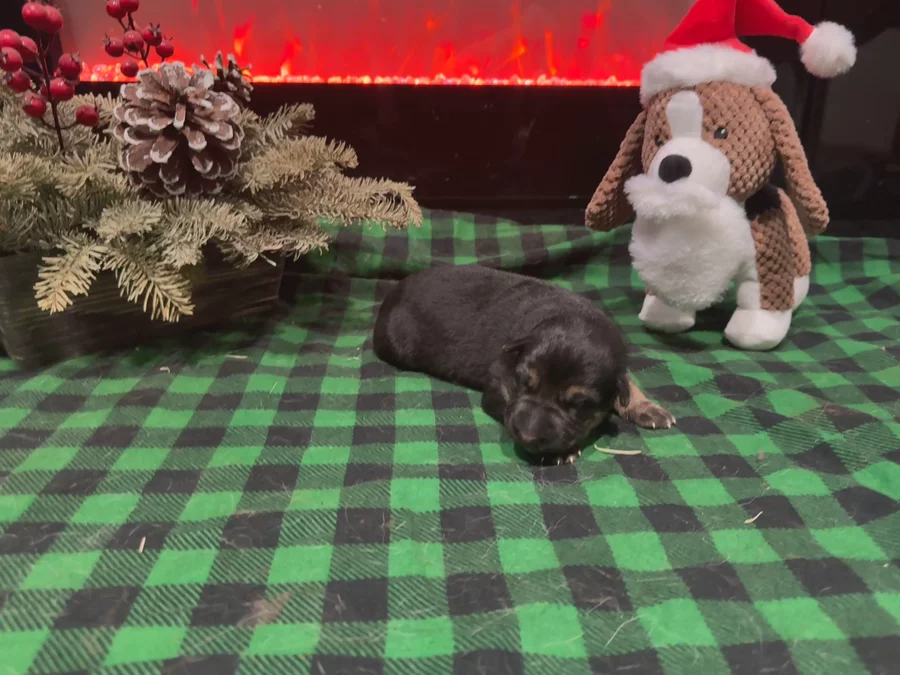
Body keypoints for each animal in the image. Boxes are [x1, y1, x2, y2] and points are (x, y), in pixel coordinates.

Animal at [373, 265, 675, 464]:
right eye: (523, 382)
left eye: (579, 405)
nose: (529, 438)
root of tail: (395, 290)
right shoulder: (499, 379)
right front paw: (562, 452)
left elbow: (628, 381)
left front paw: (647, 408)